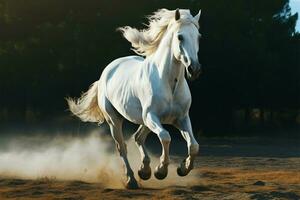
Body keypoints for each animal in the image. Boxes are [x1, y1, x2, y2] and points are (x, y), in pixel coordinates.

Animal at [67, 8, 203, 189]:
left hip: (144, 121)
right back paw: (131, 180)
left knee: (137, 137)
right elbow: (166, 137)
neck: (168, 82)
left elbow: (194, 145)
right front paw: (161, 171)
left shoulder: (181, 118)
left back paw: (144, 171)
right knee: (122, 147)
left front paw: (182, 169)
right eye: (180, 37)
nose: (194, 69)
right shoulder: (152, 116)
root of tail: (107, 71)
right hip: (115, 120)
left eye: (198, 37)